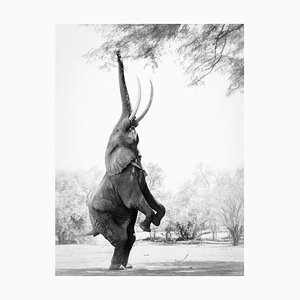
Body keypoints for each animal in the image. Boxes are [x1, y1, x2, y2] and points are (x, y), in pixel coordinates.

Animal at [86, 50, 166, 270]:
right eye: (118, 130)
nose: (118, 52)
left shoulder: (137, 172)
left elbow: (150, 197)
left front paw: (155, 222)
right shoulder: (123, 178)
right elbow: (135, 199)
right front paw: (146, 225)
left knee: (129, 236)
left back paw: (124, 266)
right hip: (99, 214)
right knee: (121, 237)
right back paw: (115, 267)